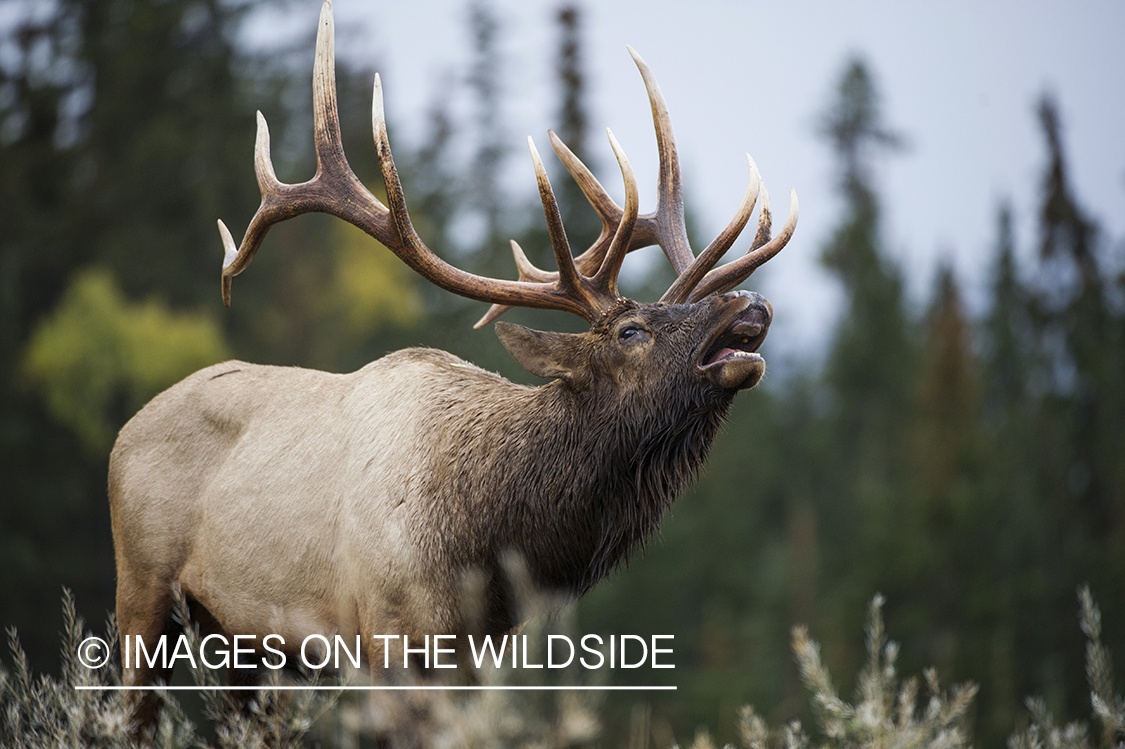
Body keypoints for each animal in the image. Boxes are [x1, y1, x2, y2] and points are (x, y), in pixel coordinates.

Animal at [105, 0, 796, 733]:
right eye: (629, 330)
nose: (749, 302)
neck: (486, 542)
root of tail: (124, 432)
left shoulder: (476, 659)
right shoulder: (386, 636)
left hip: (244, 642)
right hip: (142, 593)